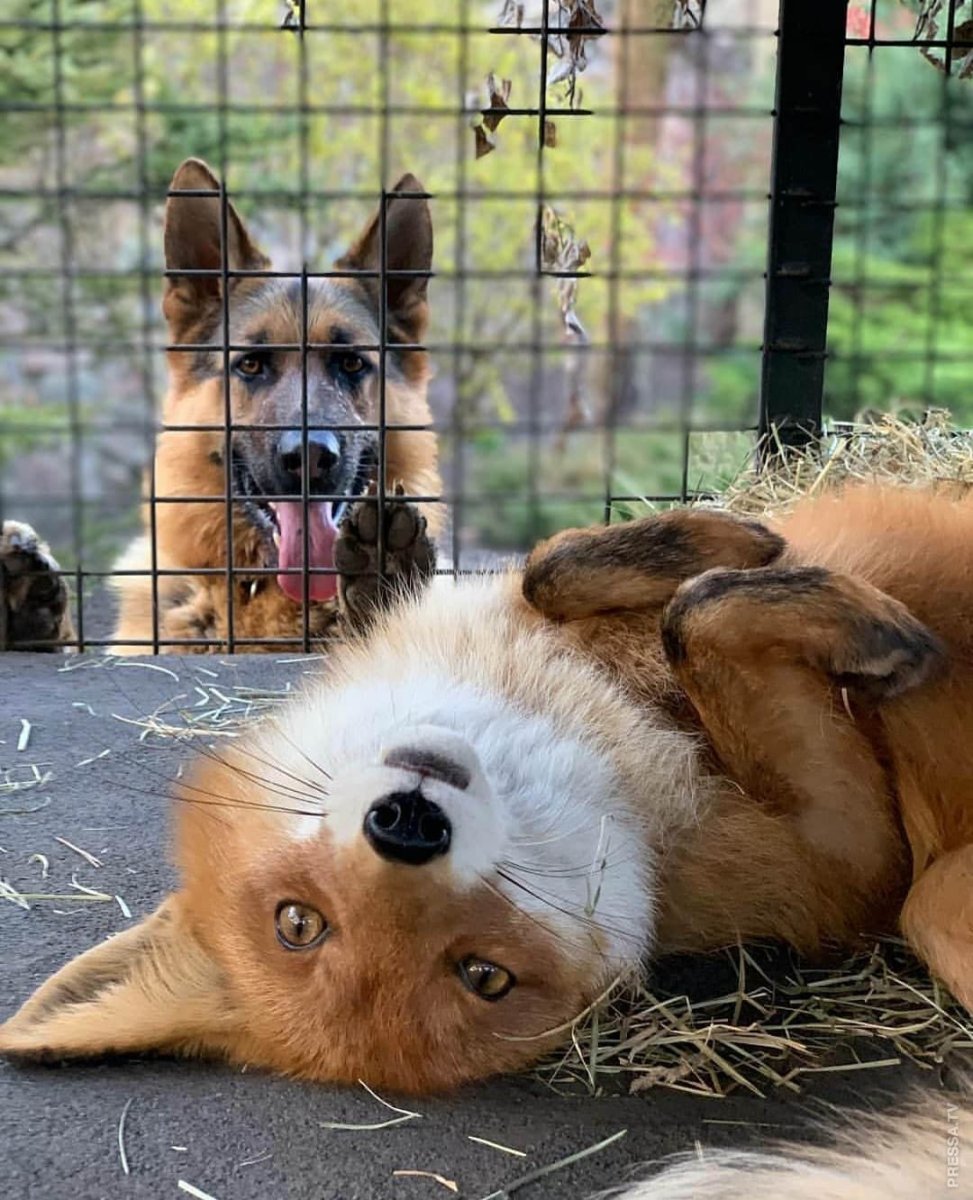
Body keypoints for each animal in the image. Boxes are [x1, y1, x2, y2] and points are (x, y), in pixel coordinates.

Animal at [2, 484, 973, 1138]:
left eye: (294, 922)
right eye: (484, 976)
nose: (406, 827)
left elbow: (554, 570)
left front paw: (716, 535)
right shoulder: (842, 863)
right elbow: (699, 619)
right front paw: (875, 632)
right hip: (934, 911)